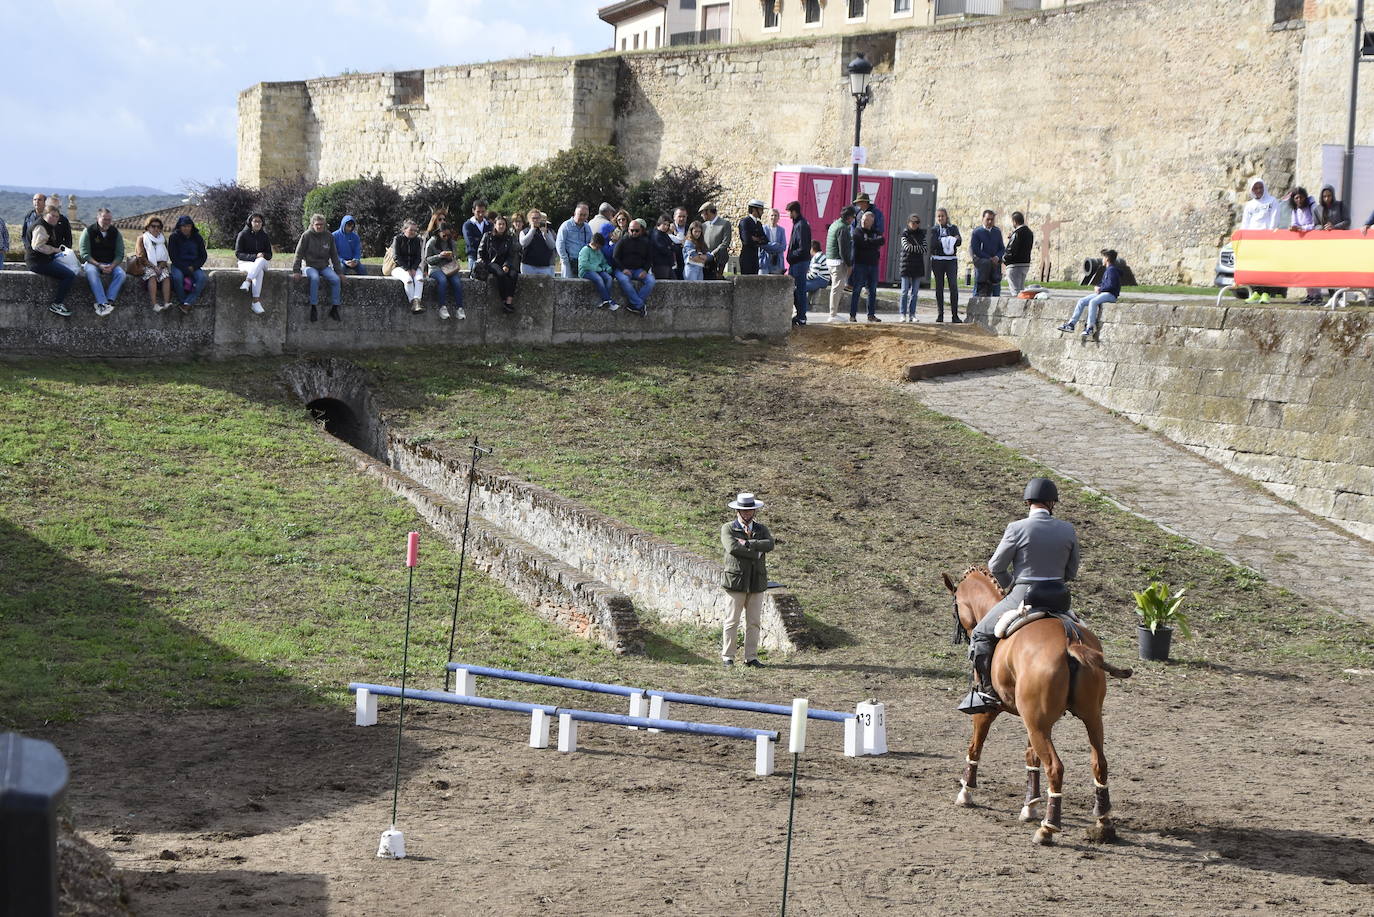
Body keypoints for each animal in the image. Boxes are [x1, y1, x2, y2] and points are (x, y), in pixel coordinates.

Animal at [945, 566, 1126, 846]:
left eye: (956, 602)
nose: (959, 634)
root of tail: (1070, 639)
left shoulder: (987, 710)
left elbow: (975, 747)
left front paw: (966, 791)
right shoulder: (1033, 721)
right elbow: (1031, 758)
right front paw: (1030, 806)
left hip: (1039, 724)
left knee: (1055, 768)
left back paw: (1048, 829)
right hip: (1087, 718)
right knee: (1100, 763)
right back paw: (1103, 823)